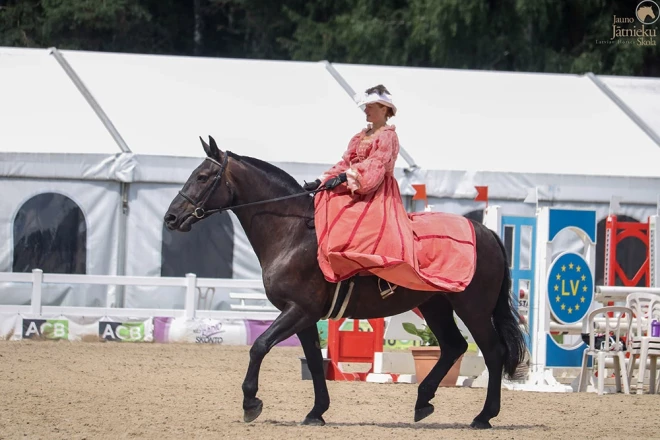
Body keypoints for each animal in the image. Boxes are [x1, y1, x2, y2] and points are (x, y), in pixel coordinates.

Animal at [166, 135, 532, 430]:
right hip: (435, 306)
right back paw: (423, 401)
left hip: (473, 309)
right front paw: (316, 412)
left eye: (202, 176)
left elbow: (259, 346)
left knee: (493, 352)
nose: (171, 218)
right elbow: (315, 363)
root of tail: (485, 232)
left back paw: (483, 416)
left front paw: (250, 402)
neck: (294, 233)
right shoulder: (304, 317)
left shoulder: (298, 310)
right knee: (454, 346)